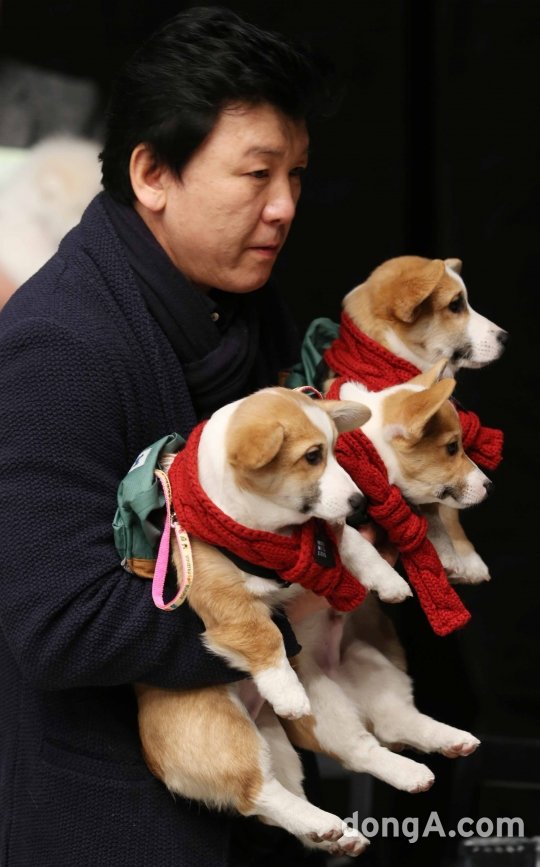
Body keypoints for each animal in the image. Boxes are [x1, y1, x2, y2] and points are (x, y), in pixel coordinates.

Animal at [136, 386, 415, 857]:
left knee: (306, 780)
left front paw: (388, 580)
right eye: (312, 456)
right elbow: (263, 633)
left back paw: (350, 821)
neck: (272, 534)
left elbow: (353, 545)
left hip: (295, 733)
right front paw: (285, 690)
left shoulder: (327, 533)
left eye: (336, 450)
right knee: (258, 794)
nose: (360, 503)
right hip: (230, 736)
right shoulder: (220, 592)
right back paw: (327, 821)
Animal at [284, 361, 485, 792]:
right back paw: (410, 774)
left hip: (374, 664)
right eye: (451, 448)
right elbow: (354, 544)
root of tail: (338, 676)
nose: (488, 484)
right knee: (363, 750)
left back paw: (452, 740)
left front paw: (449, 556)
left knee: (399, 722)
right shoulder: (326, 519)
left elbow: (428, 516)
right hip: (320, 706)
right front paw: (388, 580)